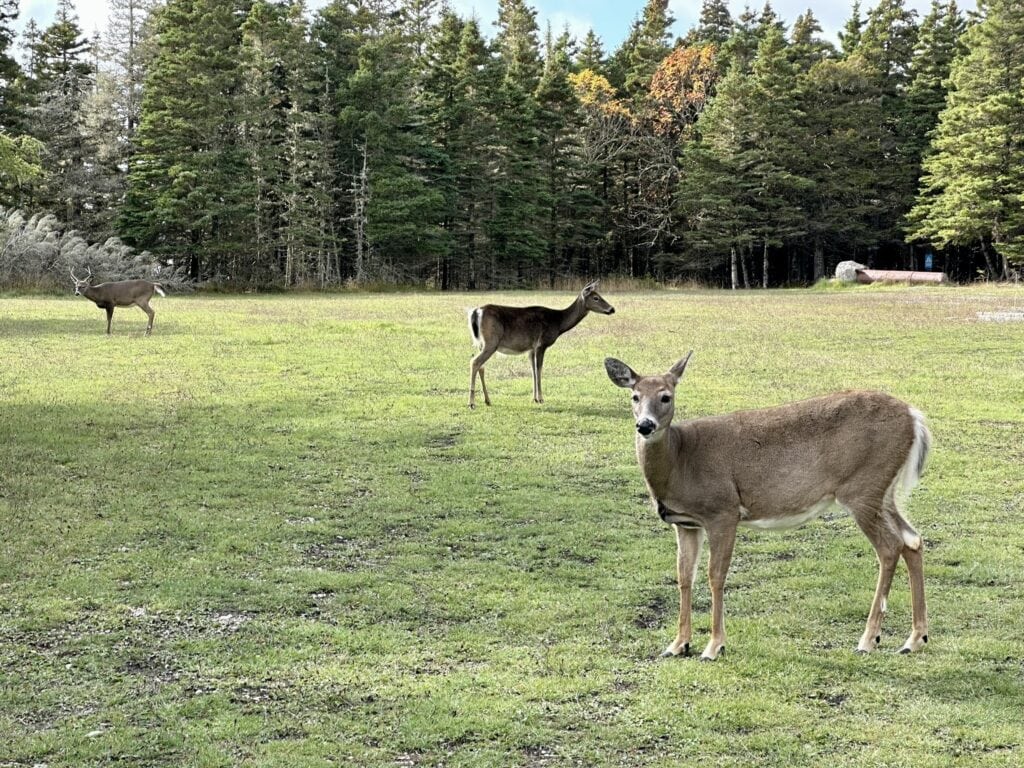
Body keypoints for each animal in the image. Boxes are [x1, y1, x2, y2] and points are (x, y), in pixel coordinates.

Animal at [466, 280, 614, 409]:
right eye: (596, 297)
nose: (612, 309)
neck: (558, 323)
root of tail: (476, 311)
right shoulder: (541, 344)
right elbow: (539, 369)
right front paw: (541, 398)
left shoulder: (531, 348)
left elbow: (533, 370)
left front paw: (534, 398)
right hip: (491, 342)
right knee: (475, 362)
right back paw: (471, 403)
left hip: (482, 343)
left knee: (481, 366)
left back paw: (487, 400)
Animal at [602, 354, 933, 663]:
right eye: (635, 396)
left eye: (666, 396)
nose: (645, 425)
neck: (680, 460)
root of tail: (914, 416)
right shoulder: (686, 523)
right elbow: (684, 577)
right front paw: (677, 645)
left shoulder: (723, 511)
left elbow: (716, 575)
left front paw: (714, 646)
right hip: (883, 492)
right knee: (912, 540)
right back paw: (914, 639)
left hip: (863, 487)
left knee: (890, 546)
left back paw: (869, 640)